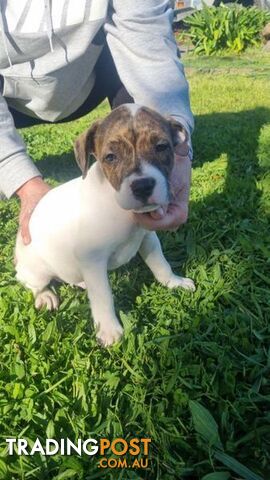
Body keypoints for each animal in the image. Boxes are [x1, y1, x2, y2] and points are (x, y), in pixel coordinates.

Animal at [14, 105, 195, 344]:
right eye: (110, 157)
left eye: (161, 147)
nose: (143, 186)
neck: (117, 206)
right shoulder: (93, 259)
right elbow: (103, 295)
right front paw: (109, 329)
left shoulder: (148, 238)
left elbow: (160, 264)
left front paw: (174, 282)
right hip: (36, 269)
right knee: (31, 281)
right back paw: (45, 295)